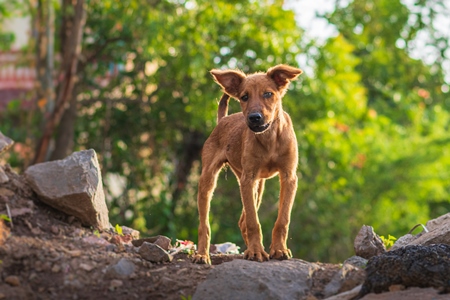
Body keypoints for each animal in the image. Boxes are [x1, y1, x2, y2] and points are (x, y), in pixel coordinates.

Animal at [192, 64, 302, 264]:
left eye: (268, 94)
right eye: (244, 97)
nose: (254, 118)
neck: (269, 138)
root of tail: (223, 120)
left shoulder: (289, 177)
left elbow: (282, 219)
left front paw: (279, 249)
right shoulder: (247, 179)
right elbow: (253, 221)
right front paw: (256, 251)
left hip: (258, 186)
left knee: (242, 221)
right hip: (209, 180)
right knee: (205, 224)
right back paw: (202, 254)